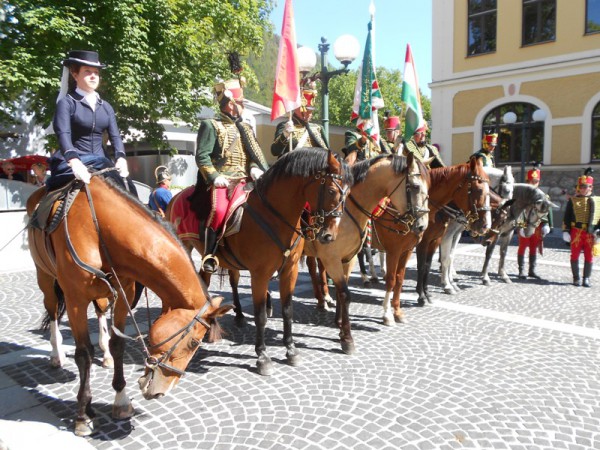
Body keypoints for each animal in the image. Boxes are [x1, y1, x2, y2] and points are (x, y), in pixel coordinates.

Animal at [27, 176, 232, 436]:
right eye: (194, 342)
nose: (162, 391)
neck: (100, 228)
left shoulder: (126, 294)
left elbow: (118, 345)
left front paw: (121, 400)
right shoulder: (75, 300)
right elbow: (83, 354)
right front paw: (83, 415)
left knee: (100, 311)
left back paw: (103, 356)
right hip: (44, 275)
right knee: (53, 311)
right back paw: (56, 354)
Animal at [165, 149, 352, 378]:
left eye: (348, 193)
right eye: (332, 190)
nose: (329, 236)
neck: (275, 215)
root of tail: (176, 196)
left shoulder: (289, 270)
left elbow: (287, 309)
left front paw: (291, 350)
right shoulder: (259, 274)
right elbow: (261, 315)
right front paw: (262, 357)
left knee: (226, 280)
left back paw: (234, 316)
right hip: (185, 247)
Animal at [304, 153, 432, 354]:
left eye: (430, 186)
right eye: (416, 186)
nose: (422, 226)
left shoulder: (349, 258)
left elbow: (396, 279)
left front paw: (340, 324)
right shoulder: (390, 251)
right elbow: (390, 280)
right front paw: (386, 315)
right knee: (312, 270)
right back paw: (322, 300)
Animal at [370, 156, 492, 324]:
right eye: (479, 190)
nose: (486, 225)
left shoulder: (434, 241)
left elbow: (427, 266)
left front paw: (427, 294)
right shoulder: (416, 244)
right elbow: (420, 267)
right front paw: (421, 296)